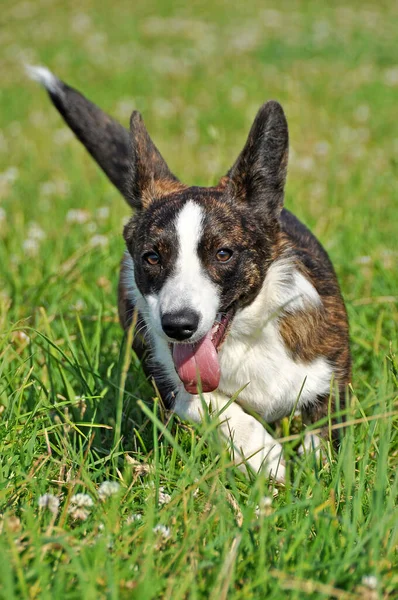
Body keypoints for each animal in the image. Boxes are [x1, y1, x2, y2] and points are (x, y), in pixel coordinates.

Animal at [28, 65, 352, 480]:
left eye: (223, 253)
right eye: (152, 257)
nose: (178, 326)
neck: (244, 337)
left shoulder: (330, 373)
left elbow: (322, 431)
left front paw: (317, 471)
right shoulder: (170, 378)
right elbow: (214, 407)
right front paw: (265, 456)